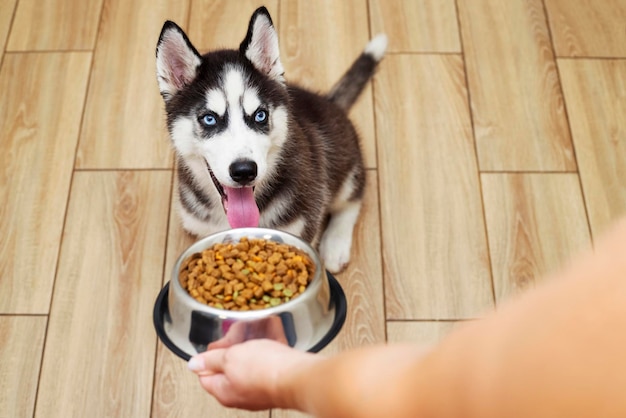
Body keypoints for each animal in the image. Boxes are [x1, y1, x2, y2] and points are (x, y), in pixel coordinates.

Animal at [155, 8, 386, 274]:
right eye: (210, 119)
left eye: (260, 115)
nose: (244, 171)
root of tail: (328, 101)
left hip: (343, 162)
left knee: (352, 197)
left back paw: (335, 244)